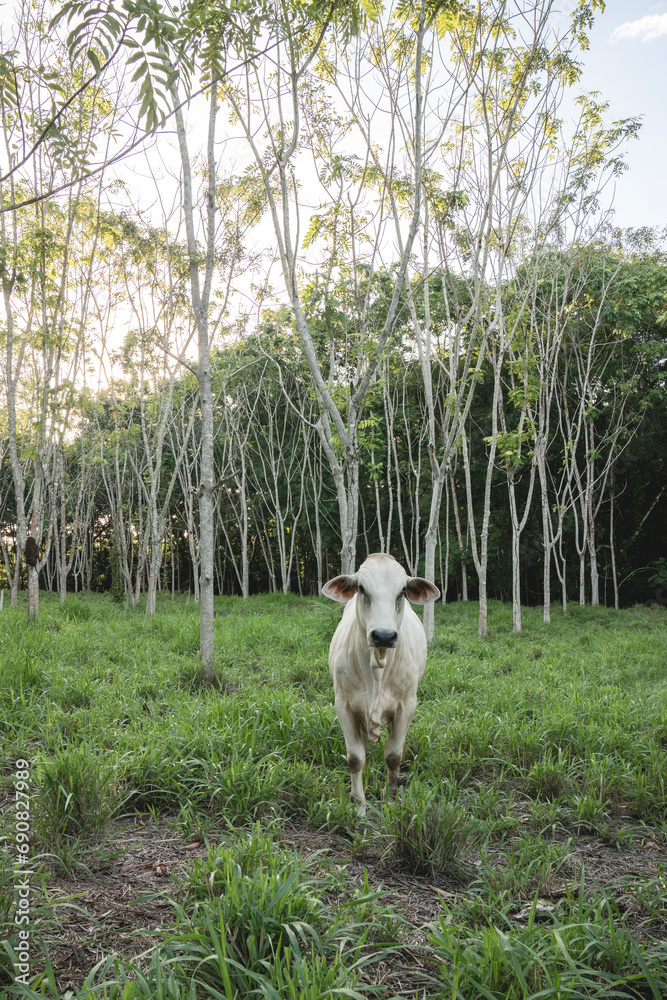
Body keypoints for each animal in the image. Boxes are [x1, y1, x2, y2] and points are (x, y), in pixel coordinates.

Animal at [322, 553, 440, 813]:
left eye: (402, 592)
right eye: (362, 589)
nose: (384, 635)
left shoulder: (407, 705)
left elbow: (393, 755)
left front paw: (391, 799)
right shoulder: (343, 704)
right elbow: (355, 758)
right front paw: (359, 804)